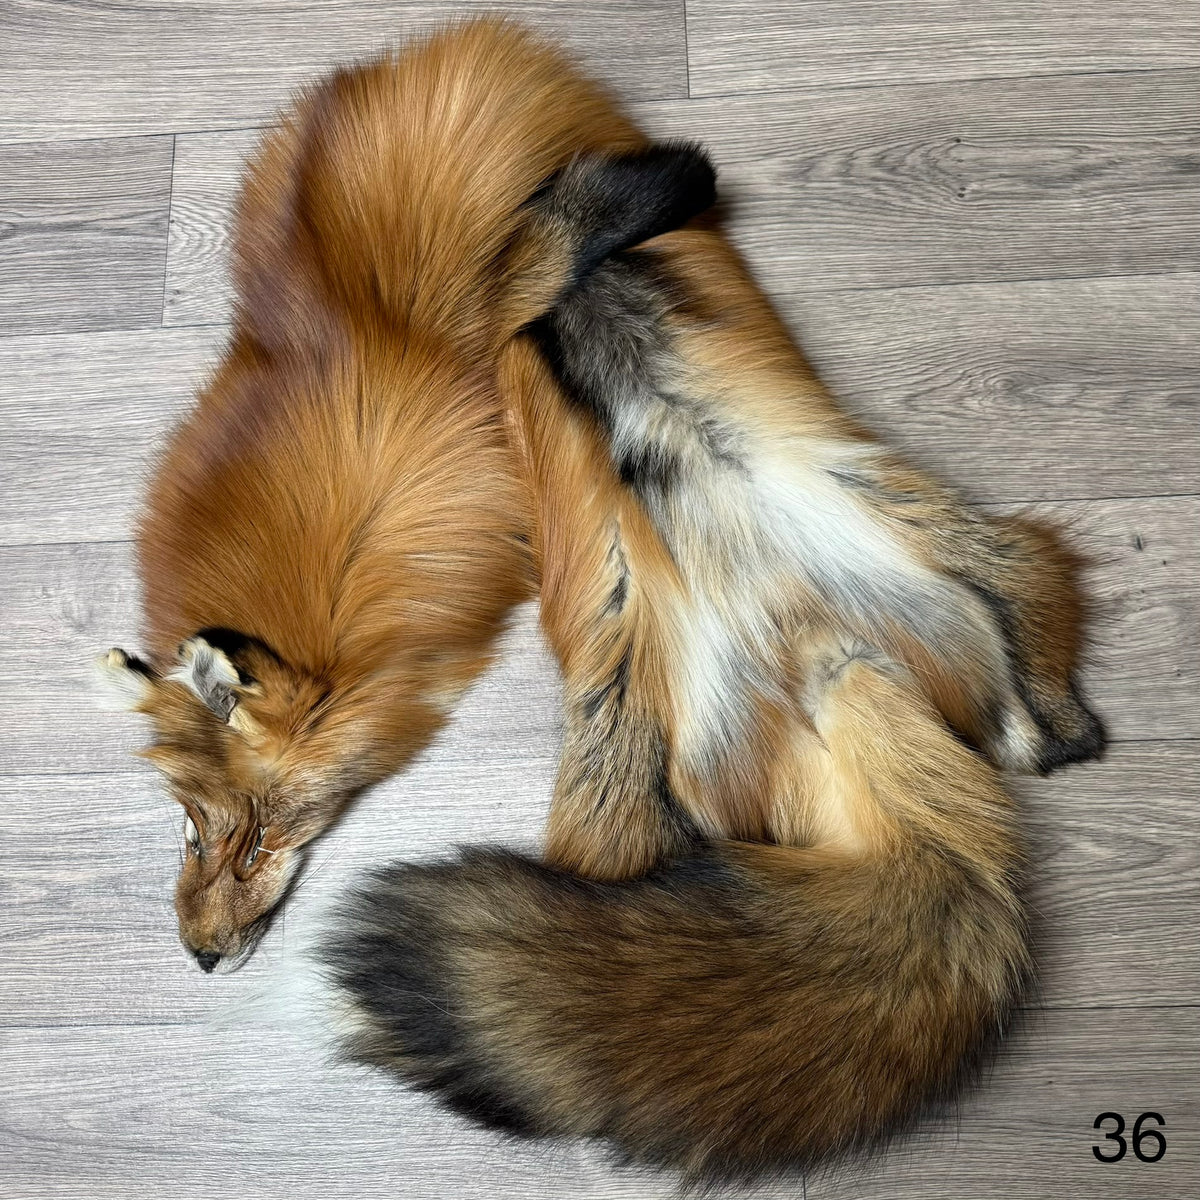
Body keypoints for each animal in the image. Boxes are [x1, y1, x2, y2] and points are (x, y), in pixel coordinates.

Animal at [317, 144, 1104, 1182]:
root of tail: (825, 666)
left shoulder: (518, 289)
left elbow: (552, 238)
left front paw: (644, 186)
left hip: (651, 710)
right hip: (912, 557)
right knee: (1031, 641)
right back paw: (1059, 726)